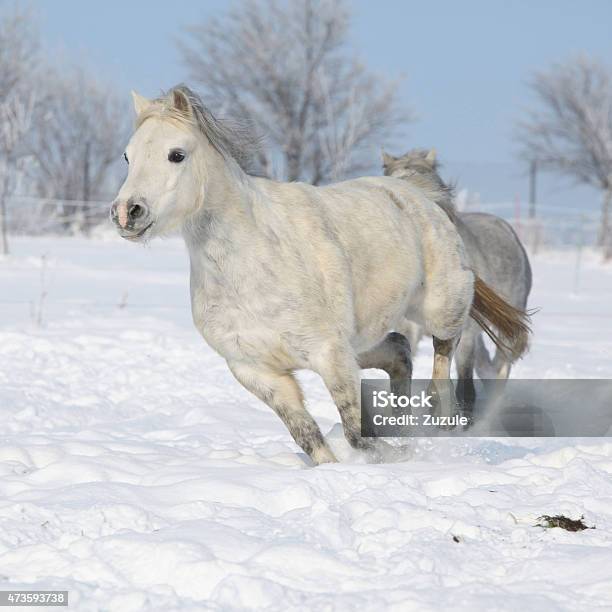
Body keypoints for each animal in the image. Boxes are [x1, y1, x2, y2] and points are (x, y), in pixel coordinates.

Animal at [111, 86, 532, 466]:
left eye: (176, 155)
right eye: (128, 155)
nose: (126, 212)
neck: (248, 264)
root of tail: (417, 195)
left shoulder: (330, 354)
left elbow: (356, 432)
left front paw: (396, 456)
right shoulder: (258, 371)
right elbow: (309, 437)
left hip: (440, 307)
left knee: (445, 355)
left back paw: (435, 415)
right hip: (363, 339)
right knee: (399, 351)